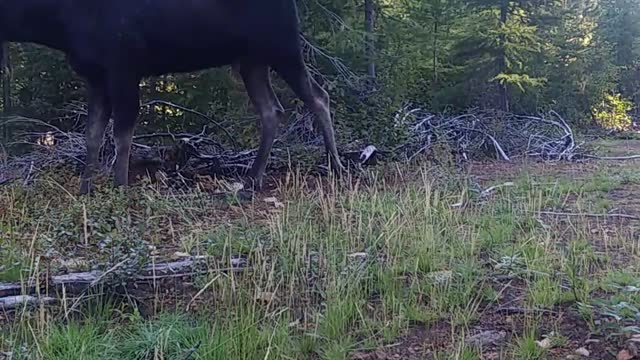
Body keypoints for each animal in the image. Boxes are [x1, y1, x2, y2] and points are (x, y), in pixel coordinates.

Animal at [0, 0, 344, 194]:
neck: (56, 23)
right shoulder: (95, 77)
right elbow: (93, 135)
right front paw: (85, 190)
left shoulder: (124, 67)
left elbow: (122, 135)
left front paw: (119, 188)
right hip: (251, 60)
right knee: (272, 110)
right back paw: (253, 178)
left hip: (282, 45)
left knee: (319, 96)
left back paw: (336, 165)